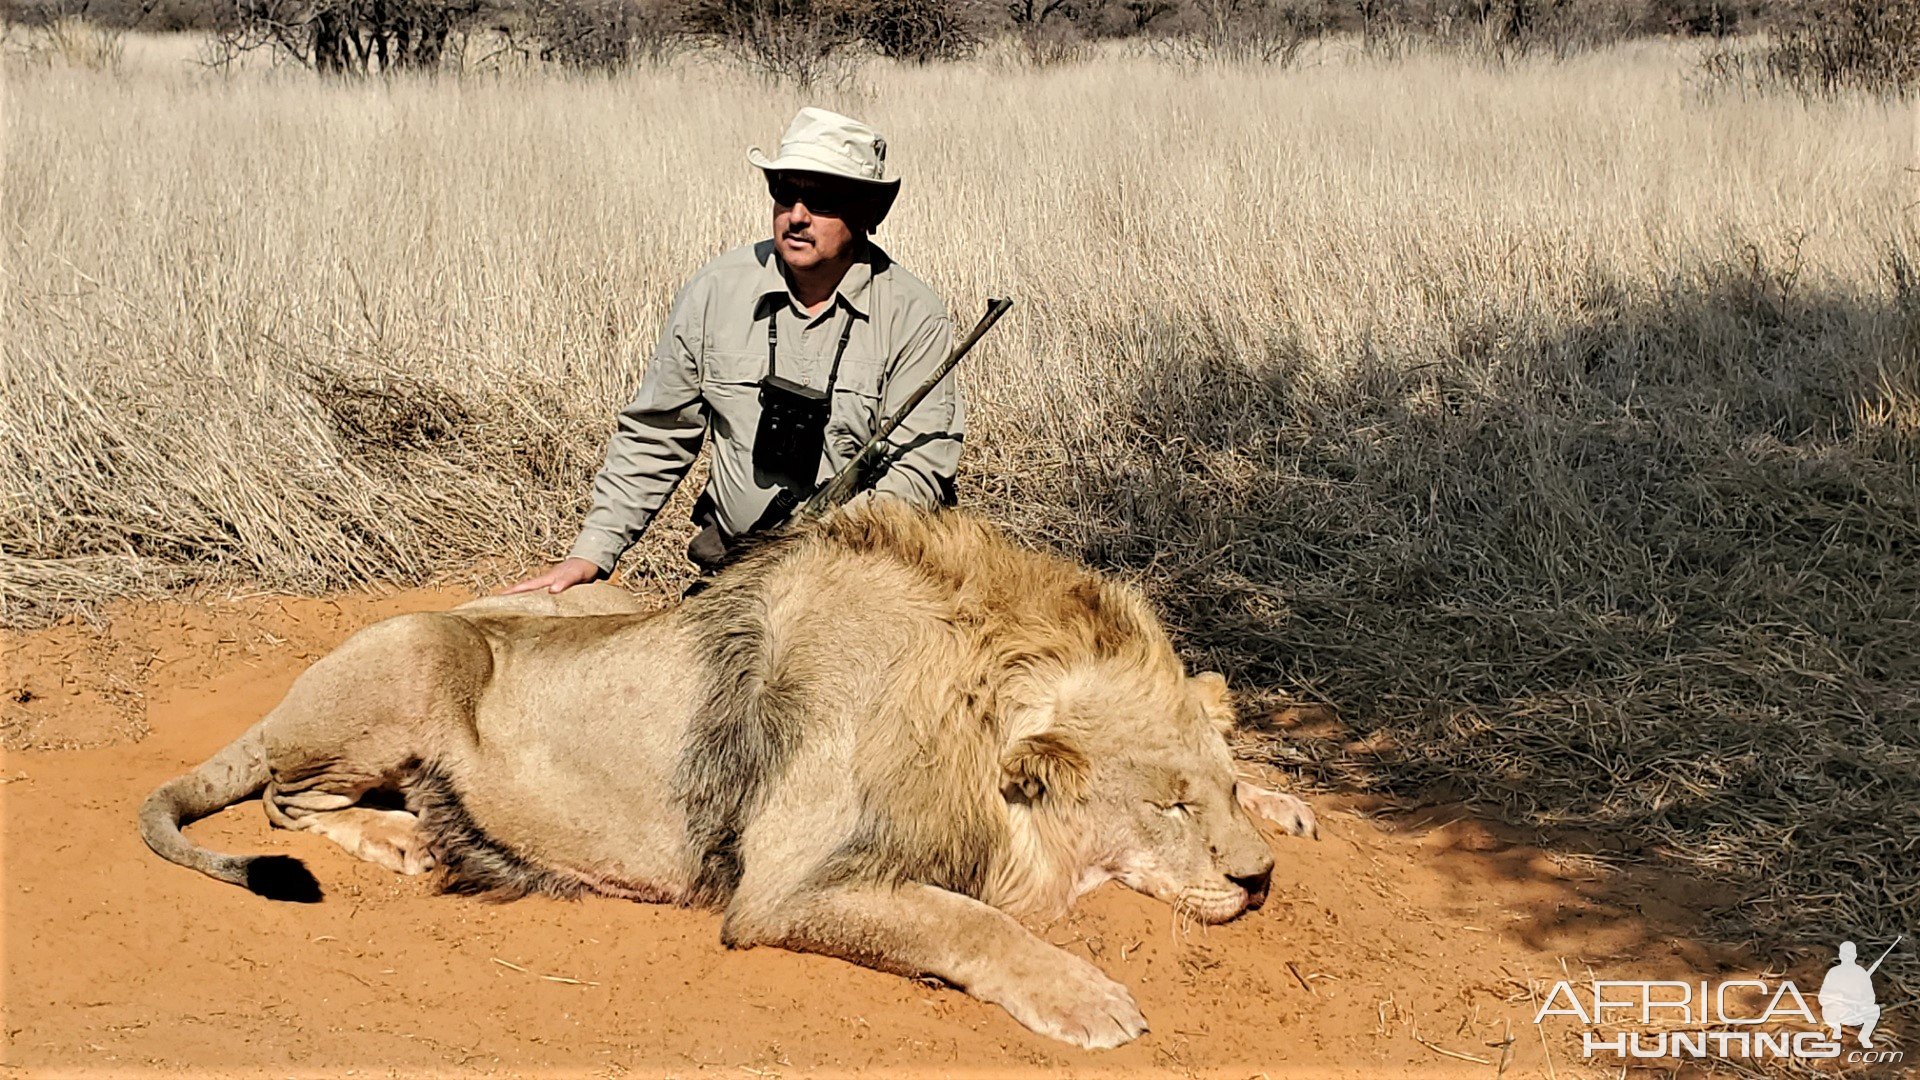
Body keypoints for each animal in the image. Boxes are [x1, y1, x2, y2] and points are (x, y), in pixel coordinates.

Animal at [142, 503, 1320, 1045]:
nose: (1259, 884)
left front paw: (1288, 803)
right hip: (418, 656)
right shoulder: (787, 885)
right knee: (289, 797)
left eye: (1213, 790)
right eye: (1166, 805)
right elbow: (970, 922)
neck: (973, 698)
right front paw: (1090, 999)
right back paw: (405, 841)